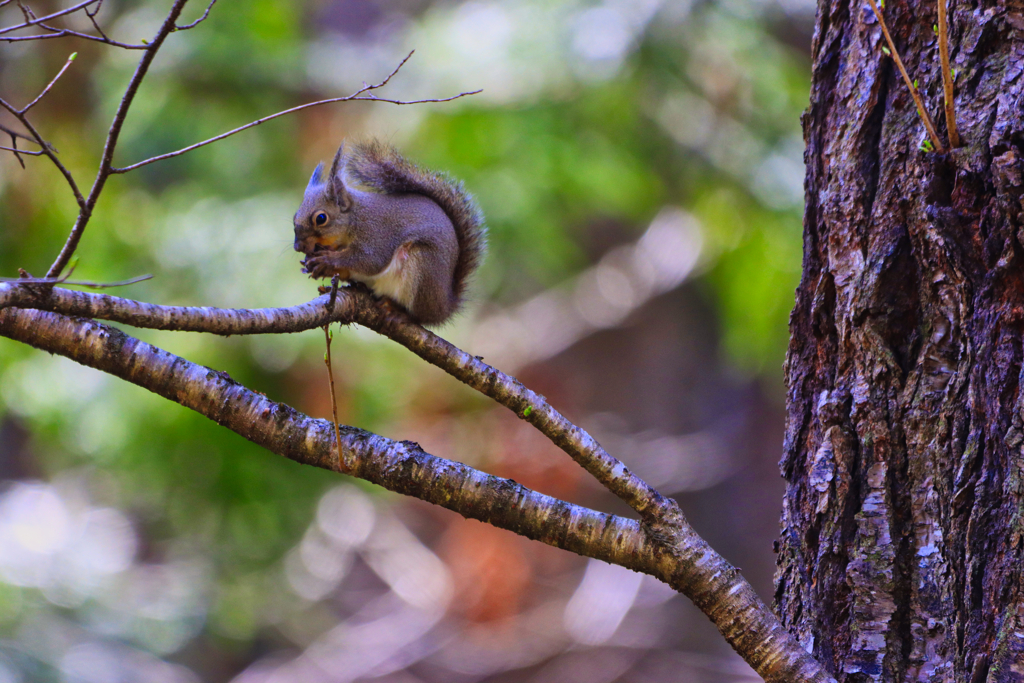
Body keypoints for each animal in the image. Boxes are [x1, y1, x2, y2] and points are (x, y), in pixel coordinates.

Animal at [296, 140, 487, 327]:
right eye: (295, 216)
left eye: (321, 218)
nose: (298, 247)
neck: (354, 219)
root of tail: (444, 307)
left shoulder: (376, 234)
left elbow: (370, 260)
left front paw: (328, 260)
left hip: (422, 265)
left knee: (418, 316)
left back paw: (398, 311)